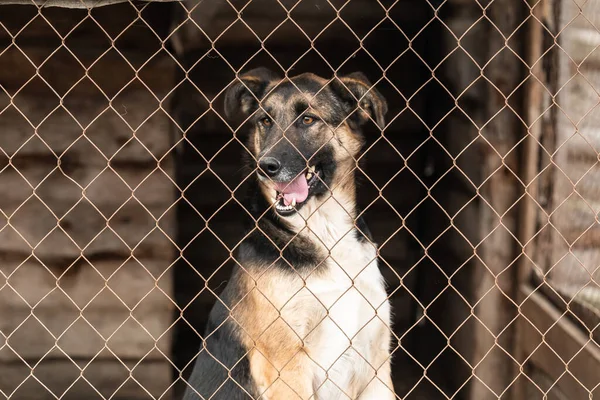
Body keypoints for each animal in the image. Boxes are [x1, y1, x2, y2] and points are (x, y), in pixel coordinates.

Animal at [185, 69, 396, 400]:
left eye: (308, 119)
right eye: (265, 121)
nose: (266, 167)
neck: (324, 232)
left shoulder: (376, 370)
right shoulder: (287, 366)